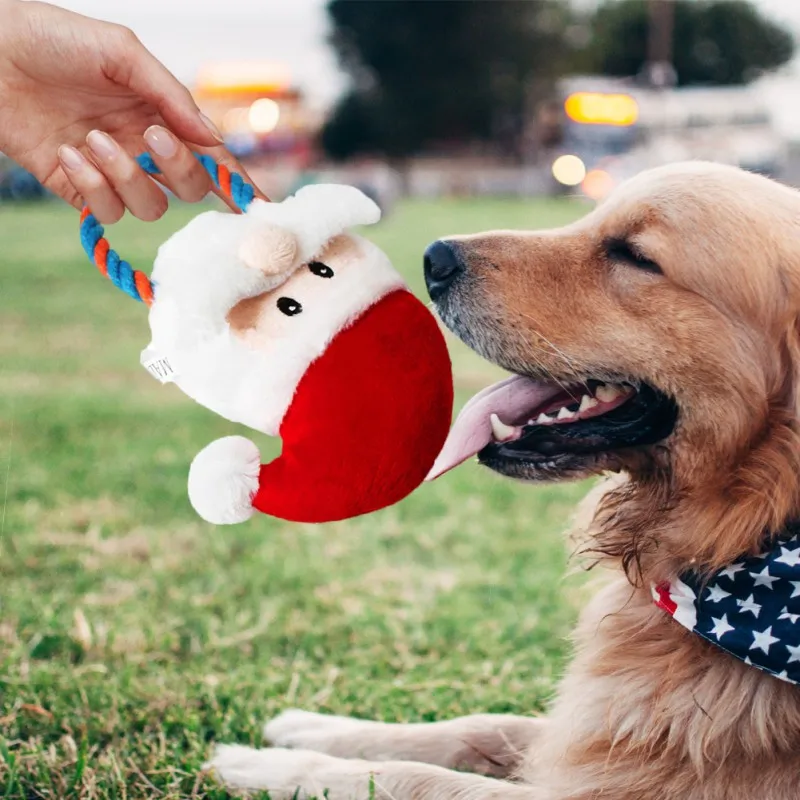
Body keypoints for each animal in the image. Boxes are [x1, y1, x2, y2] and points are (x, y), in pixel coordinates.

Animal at [209, 159, 800, 796]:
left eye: (636, 256)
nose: (434, 258)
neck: (741, 536)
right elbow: (477, 725)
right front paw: (314, 727)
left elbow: (408, 777)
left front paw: (265, 765)